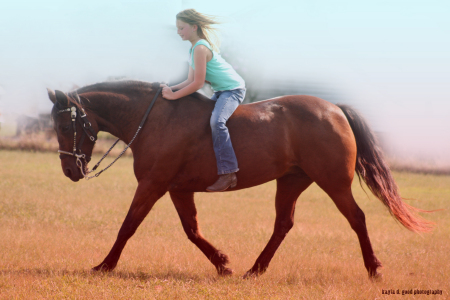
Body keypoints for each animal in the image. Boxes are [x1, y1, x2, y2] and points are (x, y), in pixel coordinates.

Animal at [46, 80, 432, 278]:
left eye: (65, 125)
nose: (70, 171)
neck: (155, 119)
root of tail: (335, 109)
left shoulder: (153, 185)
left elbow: (128, 226)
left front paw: (104, 265)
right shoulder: (177, 189)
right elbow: (192, 230)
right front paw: (222, 263)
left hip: (333, 183)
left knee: (357, 219)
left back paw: (374, 268)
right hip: (291, 182)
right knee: (283, 225)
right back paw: (255, 269)